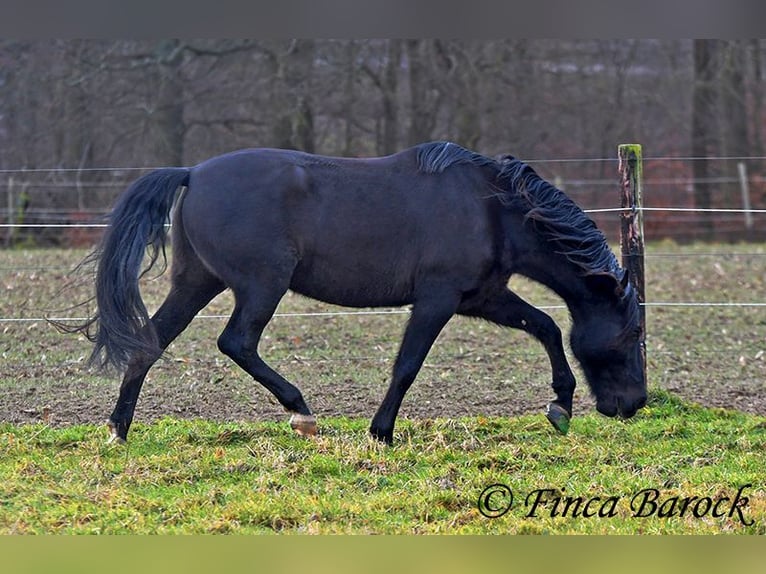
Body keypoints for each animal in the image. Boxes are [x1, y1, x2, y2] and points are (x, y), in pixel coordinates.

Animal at [70, 143, 648, 446]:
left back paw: (118, 430)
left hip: (197, 282)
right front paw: (381, 432)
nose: (633, 405)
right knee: (236, 342)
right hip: (261, 285)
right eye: (632, 335)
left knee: (151, 341)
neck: (491, 207)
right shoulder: (437, 300)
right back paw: (301, 412)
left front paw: (560, 406)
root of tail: (192, 172)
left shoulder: (482, 297)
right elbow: (407, 365)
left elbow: (547, 326)